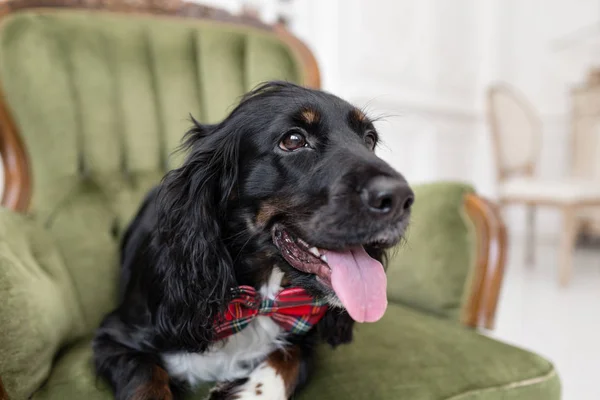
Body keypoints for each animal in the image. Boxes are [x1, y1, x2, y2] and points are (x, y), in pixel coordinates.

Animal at [92, 82, 412, 400]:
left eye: (369, 140)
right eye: (293, 140)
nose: (400, 199)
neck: (256, 301)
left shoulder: (306, 337)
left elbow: (288, 360)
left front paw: (245, 391)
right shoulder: (114, 337)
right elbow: (146, 380)